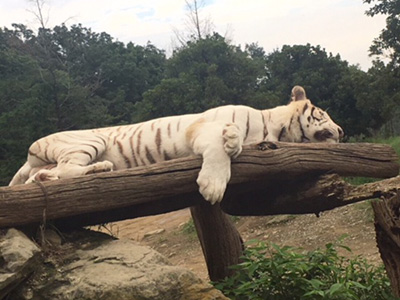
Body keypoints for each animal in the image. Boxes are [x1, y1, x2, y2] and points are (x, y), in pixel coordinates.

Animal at [7, 85, 342, 205]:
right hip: (91, 140)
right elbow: (222, 146)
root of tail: (30, 154)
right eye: (323, 114)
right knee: (66, 171)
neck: (275, 129)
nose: (341, 129)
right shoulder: (201, 126)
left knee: (49, 175)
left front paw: (233, 143)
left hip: (49, 165)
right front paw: (213, 187)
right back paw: (100, 168)